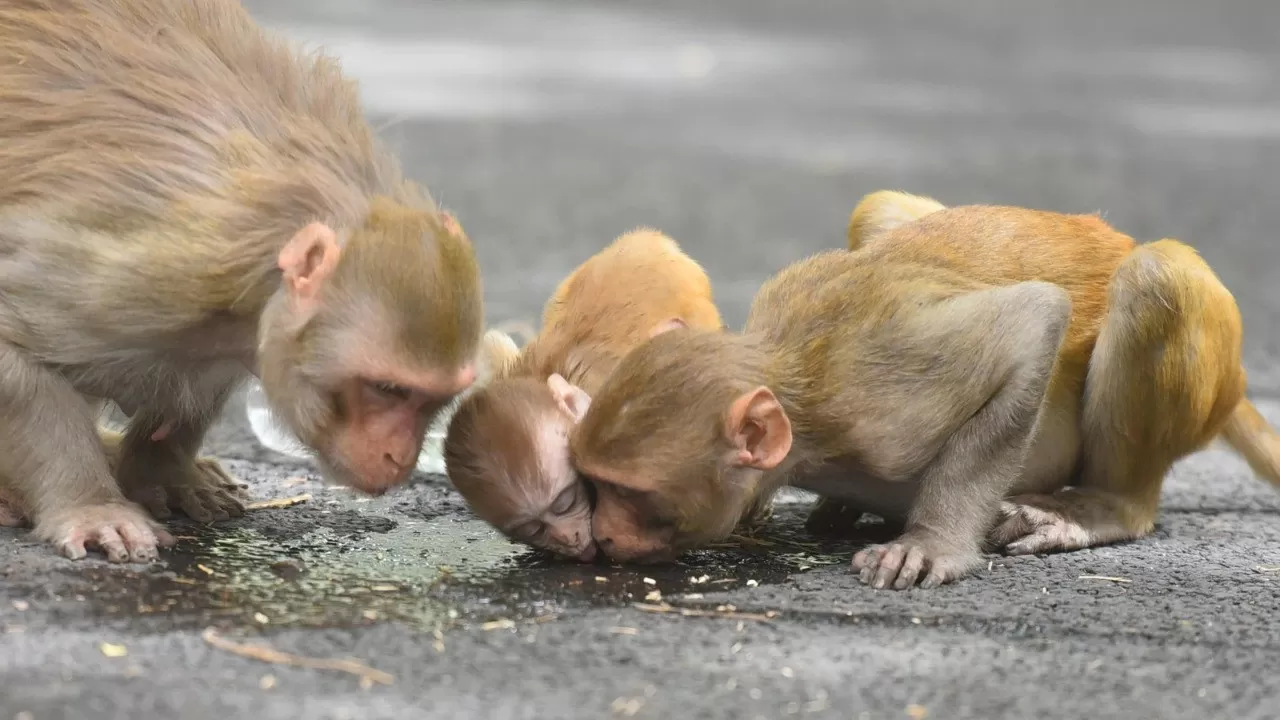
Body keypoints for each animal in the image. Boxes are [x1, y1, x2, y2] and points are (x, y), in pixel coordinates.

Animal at [0, 0, 483, 561]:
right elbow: (16, 354)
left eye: (432, 399)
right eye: (388, 389)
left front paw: (162, 473)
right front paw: (94, 505)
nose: (400, 459)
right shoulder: (134, 278)